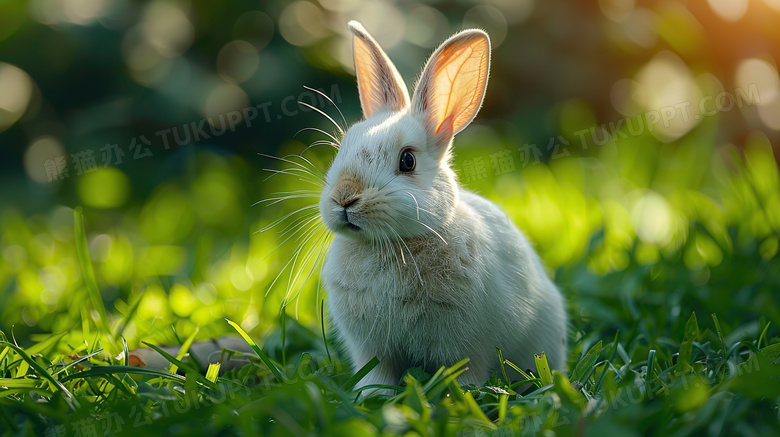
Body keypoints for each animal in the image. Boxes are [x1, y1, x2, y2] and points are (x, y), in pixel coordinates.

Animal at [316, 20, 568, 390]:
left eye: (407, 161)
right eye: (341, 149)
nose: (344, 196)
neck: (395, 243)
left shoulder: (465, 346)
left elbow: (464, 373)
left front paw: (461, 395)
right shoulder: (372, 349)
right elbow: (377, 375)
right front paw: (370, 394)